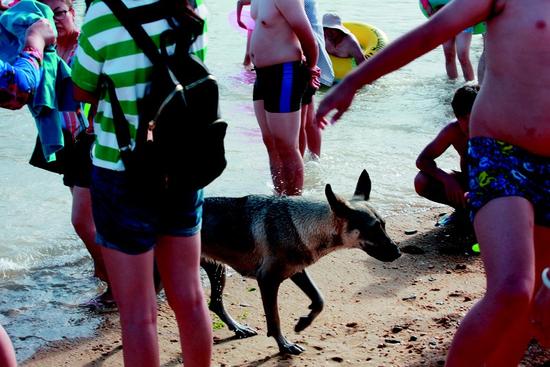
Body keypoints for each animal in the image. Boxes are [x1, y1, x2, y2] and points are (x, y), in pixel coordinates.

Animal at [201, 171, 404, 356]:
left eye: (384, 225)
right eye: (373, 230)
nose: (398, 253)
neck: (301, 225)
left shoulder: (297, 272)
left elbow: (319, 299)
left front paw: (304, 322)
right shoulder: (268, 281)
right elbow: (274, 320)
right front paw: (284, 345)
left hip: (218, 270)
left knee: (216, 303)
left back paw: (238, 328)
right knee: (214, 303)